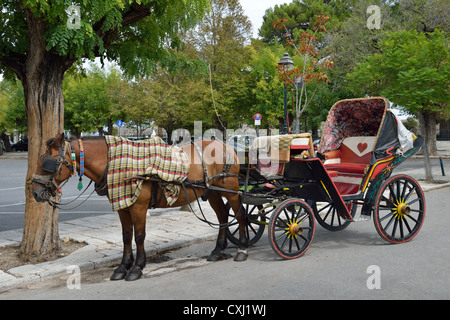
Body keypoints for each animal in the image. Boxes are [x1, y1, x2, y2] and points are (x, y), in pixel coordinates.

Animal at [31, 132, 248, 280]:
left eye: (47, 163)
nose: (34, 192)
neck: (115, 162)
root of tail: (226, 145)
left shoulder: (138, 206)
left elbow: (140, 236)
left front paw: (137, 267)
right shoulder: (123, 206)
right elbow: (127, 236)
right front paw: (123, 267)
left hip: (231, 189)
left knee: (240, 215)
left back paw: (242, 249)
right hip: (213, 192)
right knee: (222, 216)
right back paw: (218, 250)